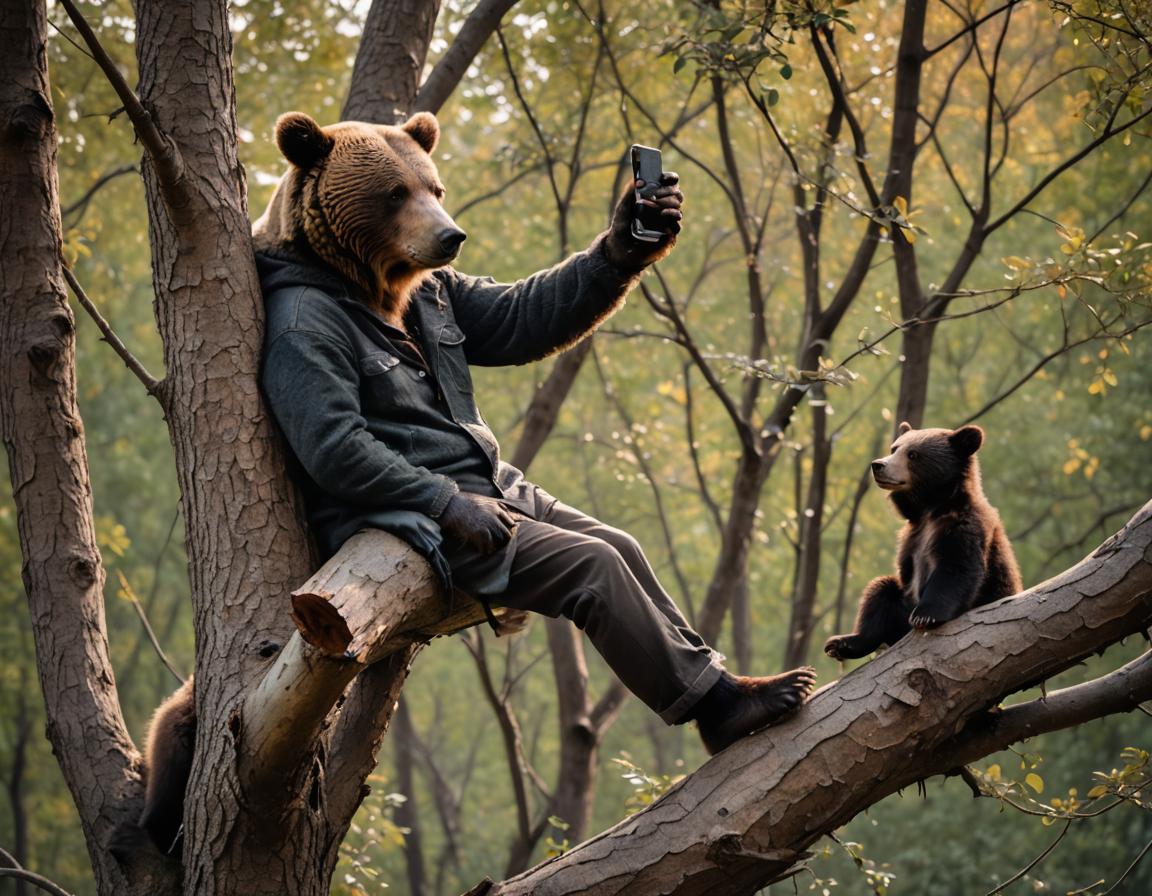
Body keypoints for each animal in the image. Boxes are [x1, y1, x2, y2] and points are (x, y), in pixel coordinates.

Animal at [128, 111, 820, 852]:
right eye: (395, 193)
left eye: (434, 186)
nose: (450, 235)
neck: (371, 287)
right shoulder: (301, 331)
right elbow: (335, 433)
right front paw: (465, 510)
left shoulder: (443, 297)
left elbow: (517, 316)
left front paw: (638, 224)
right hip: (503, 552)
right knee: (596, 564)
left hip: (532, 495)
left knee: (622, 548)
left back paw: (760, 689)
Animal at [824, 419, 1022, 654]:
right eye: (894, 448)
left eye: (913, 454)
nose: (878, 465)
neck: (931, 508)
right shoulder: (911, 538)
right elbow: (888, 587)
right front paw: (848, 640)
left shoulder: (964, 528)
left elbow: (955, 568)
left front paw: (925, 615)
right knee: (881, 588)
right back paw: (841, 643)